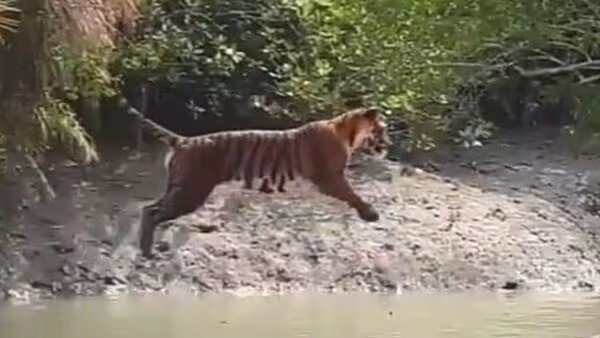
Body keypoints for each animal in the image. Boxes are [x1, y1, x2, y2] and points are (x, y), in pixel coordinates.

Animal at [122, 99, 394, 258]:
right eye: (383, 128)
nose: (389, 143)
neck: (348, 133)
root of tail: (184, 140)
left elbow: (352, 193)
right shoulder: (330, 177)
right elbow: (353, 194)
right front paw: (370, 213)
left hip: (179, 189)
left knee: (149, 209)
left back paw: (145, 250)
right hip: (191, 192)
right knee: (154, 213)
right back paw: (148, 253)